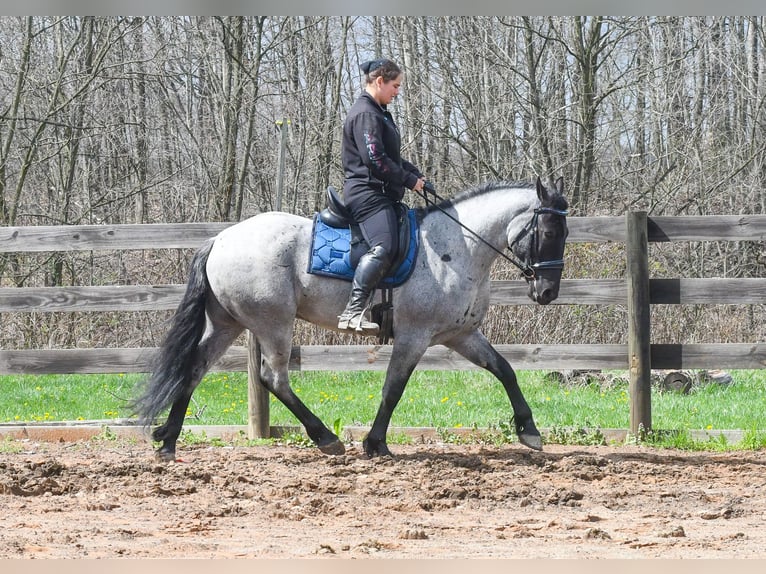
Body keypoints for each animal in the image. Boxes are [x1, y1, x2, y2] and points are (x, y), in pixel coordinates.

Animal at [132, 177, 569, 461]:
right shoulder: (414, 336)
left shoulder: (461, 335)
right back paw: (326, 438)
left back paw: (168, 442)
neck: (457, 247)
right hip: (273, 323)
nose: (548, 292)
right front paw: (375, 444)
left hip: (228, 322)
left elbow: (504, 370)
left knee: (194, 368)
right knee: (274, 378)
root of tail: (220, 239)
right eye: (549, 232)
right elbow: (393, 389)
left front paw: (530, 432)